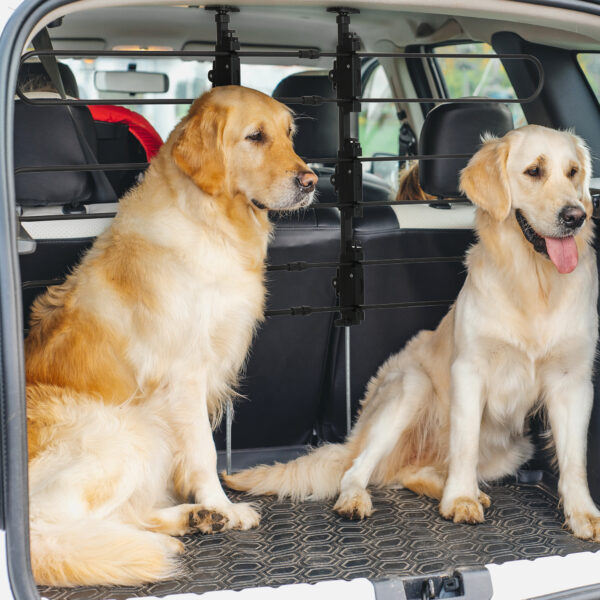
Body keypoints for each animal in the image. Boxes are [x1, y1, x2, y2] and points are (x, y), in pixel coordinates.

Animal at [25, 85, 316, 584]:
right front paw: (224, 505)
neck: (208, 220)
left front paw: (212, 510)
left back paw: (190, 520)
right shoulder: (184, 375)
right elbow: (203, 451)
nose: (311, 180)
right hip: (121, 434)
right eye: (255, 137)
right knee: (54, 528)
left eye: (288, 134)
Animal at [225, 125, 600, 544]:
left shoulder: (574, 381)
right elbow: (465, 443)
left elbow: (574, 459)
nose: (576, 216)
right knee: (356, 470)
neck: (535, 282)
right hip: (410, 387)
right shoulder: (469, 370)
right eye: (534, 171)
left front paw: (584, 514)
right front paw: (460, 500)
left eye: (573, 172)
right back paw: (359, 500)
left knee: (414, 473)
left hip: (515, 447)